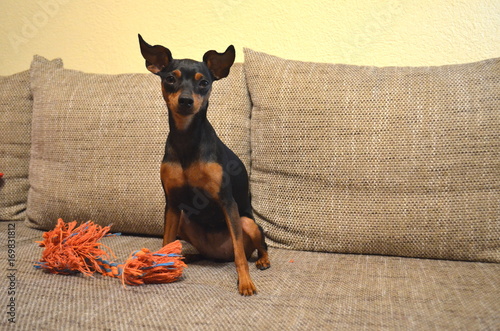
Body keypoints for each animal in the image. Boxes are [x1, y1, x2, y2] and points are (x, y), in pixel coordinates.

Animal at [137, 35, 270, 296]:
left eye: (204, 83)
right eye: (170, 79)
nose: (186, 101)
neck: (187, 138)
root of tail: (216, 255)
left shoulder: (227, 202)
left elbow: (240, 255)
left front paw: (245, 283)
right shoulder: (172, 203)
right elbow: (165, 242)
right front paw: (160, 267)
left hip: (247, 223)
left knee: (257, 247)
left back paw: (262, 261)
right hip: (184, 221)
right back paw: (185, 258)